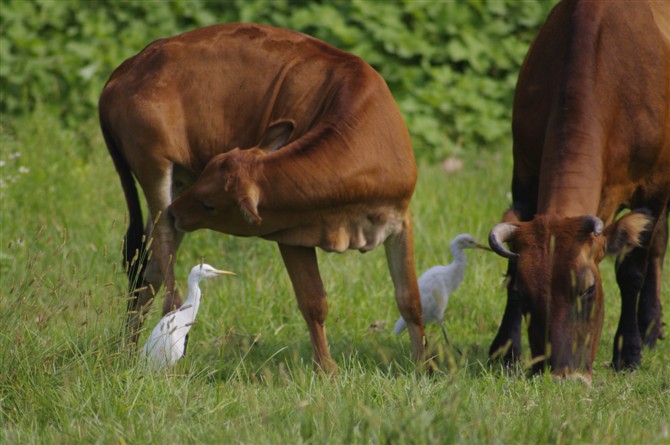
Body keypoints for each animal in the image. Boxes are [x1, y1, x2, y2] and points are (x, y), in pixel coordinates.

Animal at [99, 23, 426, 372]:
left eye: (210, 202)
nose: (176, 212)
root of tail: (124, 69)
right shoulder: (291, 232)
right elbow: (313, 302)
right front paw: (326, 371)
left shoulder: (400, 220)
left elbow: (410, 299)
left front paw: (424, 366)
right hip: (156, 170)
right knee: (166, 282)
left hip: (176, 185)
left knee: (146, 274)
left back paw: (129, 352)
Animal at [488, 0, 670, 378]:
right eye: (526, 293)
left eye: (587, 288)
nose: (558, 369)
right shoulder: (524, 175)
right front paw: (505, 350)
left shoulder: (655, 187)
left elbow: (632, 270)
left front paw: (628, 352)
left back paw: (647, 327)